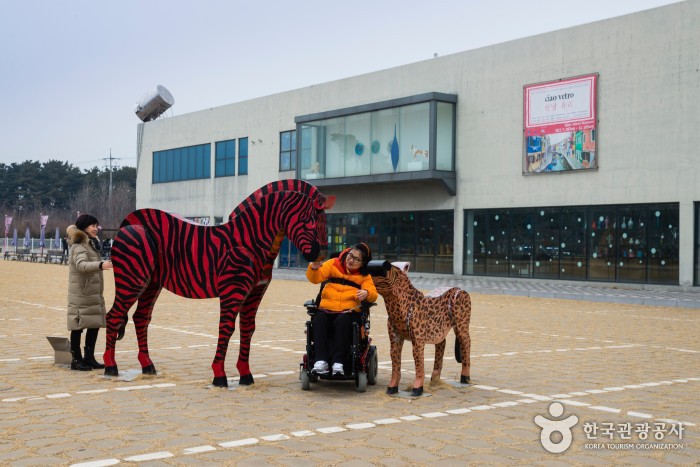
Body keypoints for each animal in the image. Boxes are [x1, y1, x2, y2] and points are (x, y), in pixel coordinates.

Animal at [102, 179, 334, 388]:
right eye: (308, 221)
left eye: (325, 222)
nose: (321, 256)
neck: (251, 241)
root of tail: (128, 222)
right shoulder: (233, 289)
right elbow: (227, 328)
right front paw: (219, 376)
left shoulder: (255, 292)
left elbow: (248, 329)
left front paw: (245, 375)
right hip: (133, 278)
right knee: (113, 315)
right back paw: (110, 367)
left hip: (152, 283)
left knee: (141, 318)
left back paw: (148, 366)